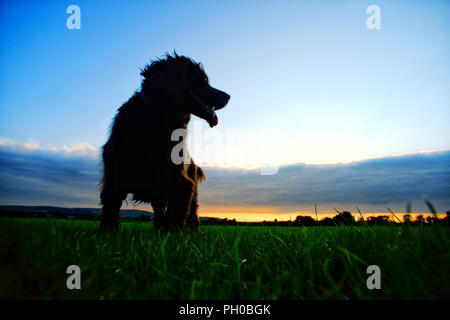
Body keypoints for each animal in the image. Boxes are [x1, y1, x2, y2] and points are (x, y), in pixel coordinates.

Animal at [100, 53, 230, 232]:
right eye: (203, 80)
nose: (228, 97)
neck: (156, 120)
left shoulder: (181, 182)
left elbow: (176, 216)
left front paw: (172, 236)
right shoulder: (113, 175)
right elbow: (110, 209)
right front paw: (107, 233)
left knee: (192, 213)